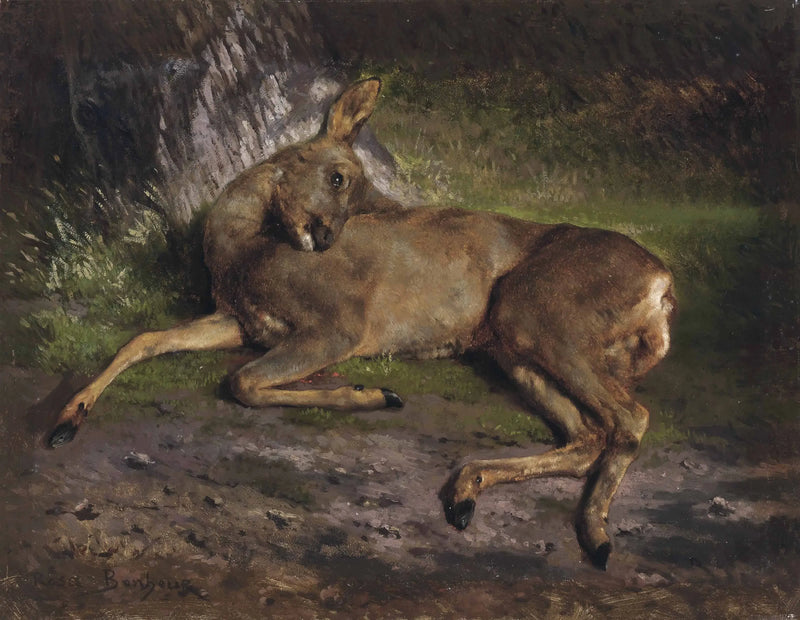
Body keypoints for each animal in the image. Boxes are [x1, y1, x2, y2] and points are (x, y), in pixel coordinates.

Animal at [48, 78, 676, 569]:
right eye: (339, 178)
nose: (325, 237)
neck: (244, 252)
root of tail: (663, 286)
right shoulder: (241, 321)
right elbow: (147, 339)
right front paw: (66, 420)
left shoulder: (339, 327)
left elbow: (242, 381)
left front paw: (370, 392)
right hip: (514, 346)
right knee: (585, 433)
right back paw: (466, 493)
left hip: (542, 315)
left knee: (630, 417)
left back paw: (595, 537)